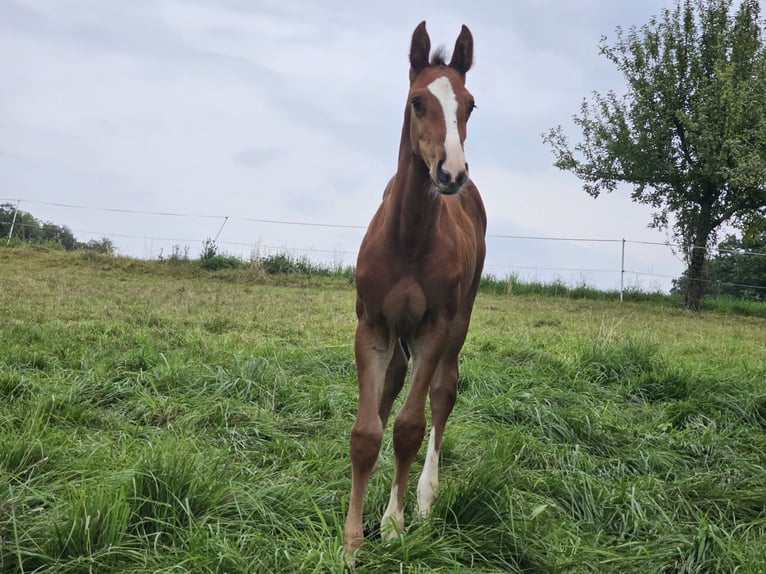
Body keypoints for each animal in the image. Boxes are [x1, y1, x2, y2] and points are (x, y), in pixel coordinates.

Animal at [346, 21, 488, 560]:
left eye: (469, 104)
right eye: (417, 101)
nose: (451, 172)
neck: (407, 239)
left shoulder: (433, 328)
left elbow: (409, 427)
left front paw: (394, 523)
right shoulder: (372, 325)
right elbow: (367, 431)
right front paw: (351, 540)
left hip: (460, 321)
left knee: (443, 394)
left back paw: (425, 497)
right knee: (390, 389)